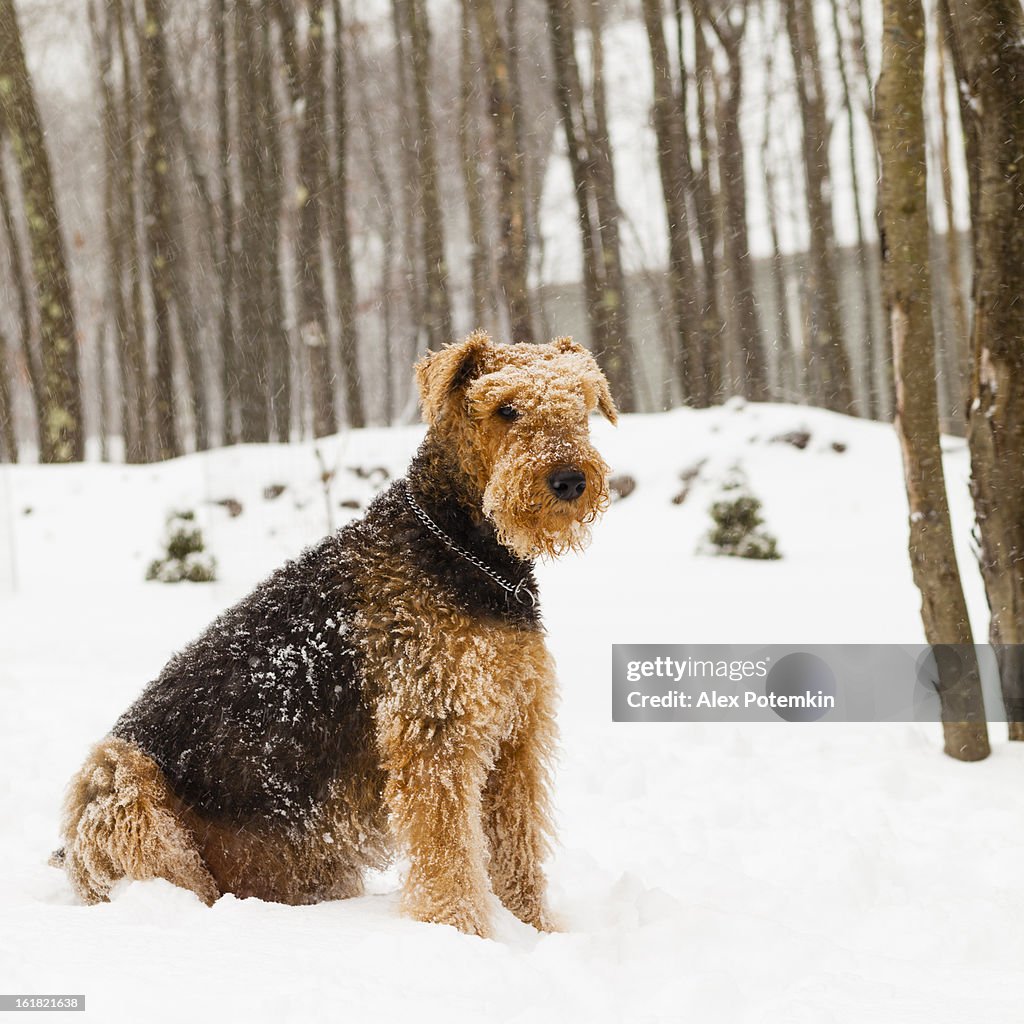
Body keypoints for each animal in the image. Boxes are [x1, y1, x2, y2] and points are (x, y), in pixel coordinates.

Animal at [54, 333, 614, 937]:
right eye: (505, 408)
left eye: (581, 403)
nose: (570, 481)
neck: (465, 550)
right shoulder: (434, 730)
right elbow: (449, 857)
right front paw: (460, 934)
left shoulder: (514, 734)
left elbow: (516, 850)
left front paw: (533, 929)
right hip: (119, 779)